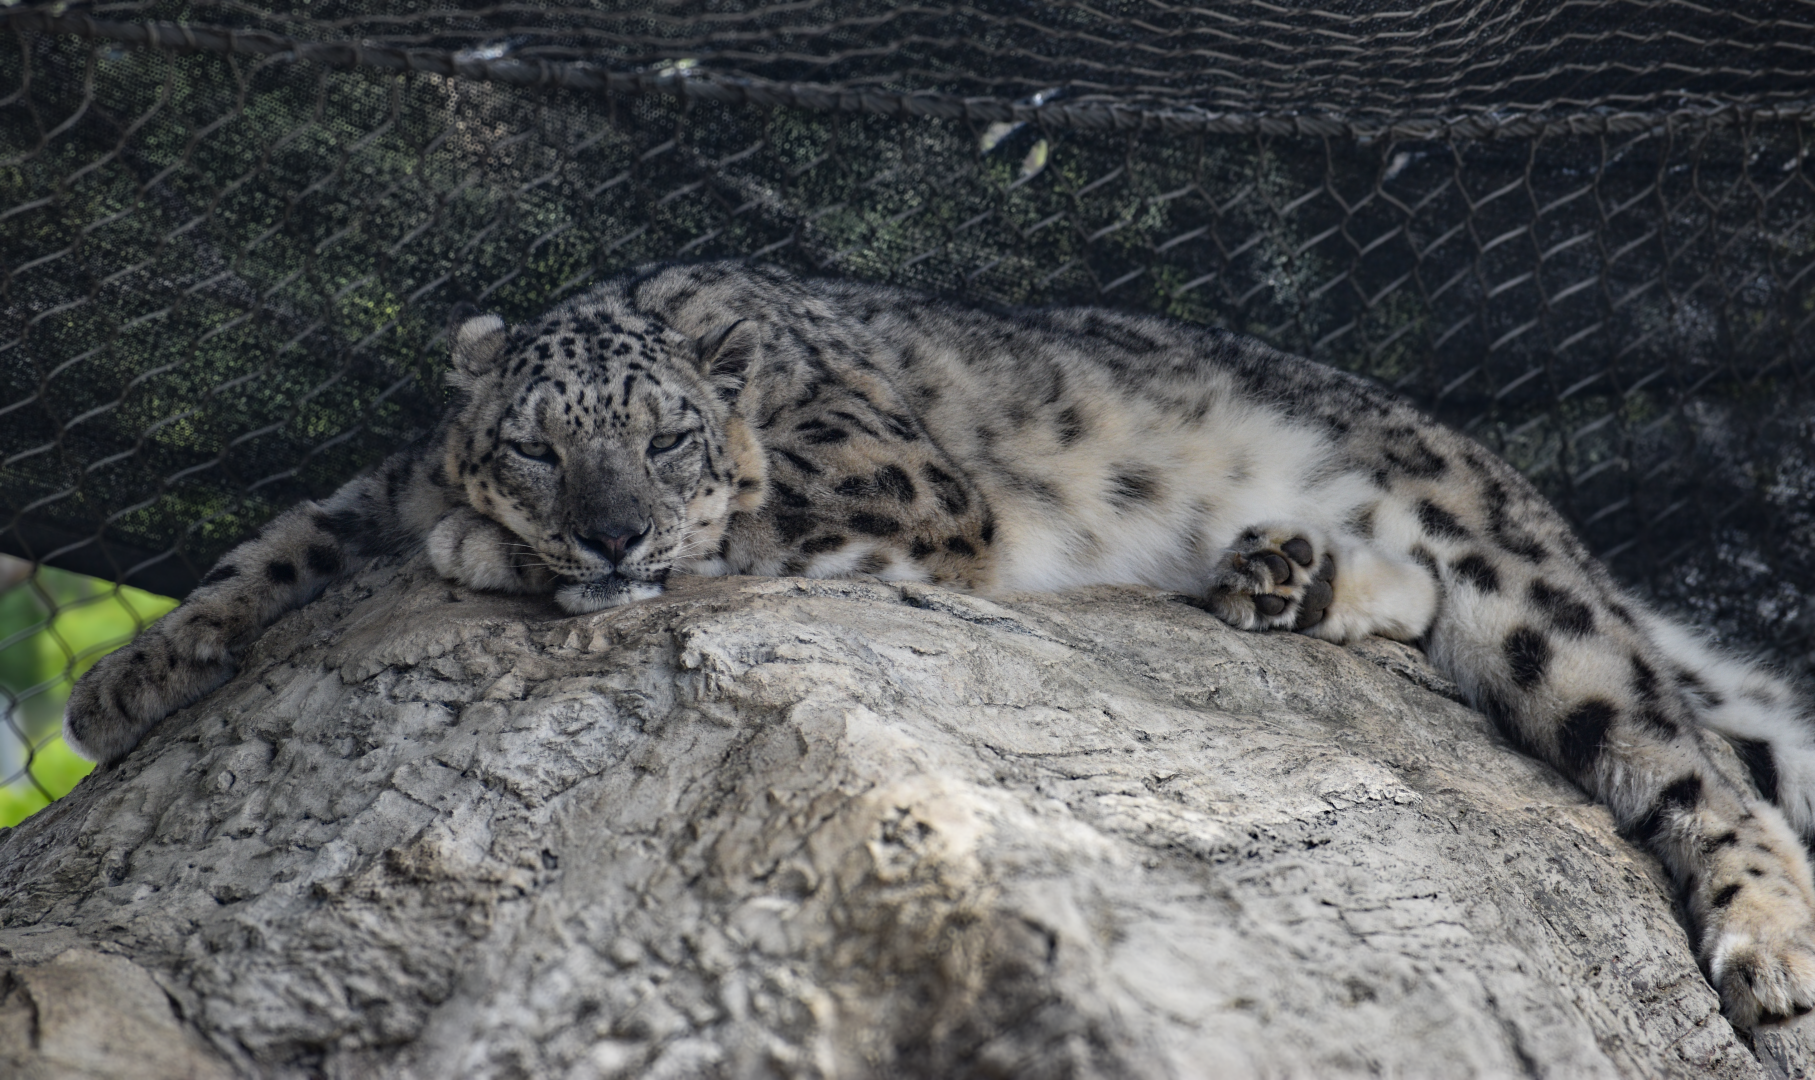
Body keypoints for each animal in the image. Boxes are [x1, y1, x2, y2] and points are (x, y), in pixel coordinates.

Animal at [65, 260, 1815, 1028]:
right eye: (540, 443)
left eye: (666, 438)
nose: (612, 533)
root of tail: (1482, 459)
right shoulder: (376, 481)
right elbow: (288, 535)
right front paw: (132, 676)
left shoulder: (903, 491)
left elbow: (759, 520)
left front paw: (493, 552)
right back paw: (1279, 573)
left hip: (1534, 604)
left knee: (1691, 767)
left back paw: (1765, 957)